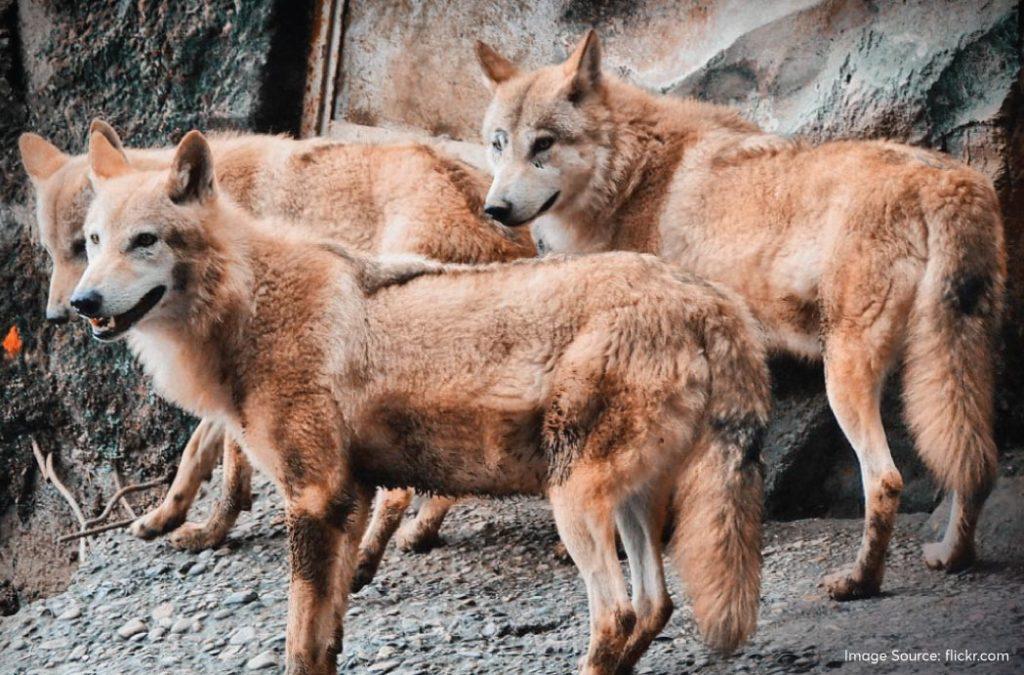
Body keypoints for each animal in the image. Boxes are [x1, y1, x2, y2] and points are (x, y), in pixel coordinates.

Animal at [18, 120, 536, 581]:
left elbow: (226, 470)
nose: (70, 309)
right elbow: (196, 452)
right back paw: (419, 532)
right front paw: (168, 515)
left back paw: (369, 556)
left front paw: (212, 530)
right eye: (84, 244)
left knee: (400, 490)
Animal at [75, 128, 770, 675]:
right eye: (93, 241)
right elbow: (327, 639)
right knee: (655, 608)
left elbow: (299, 645)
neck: (250, 305)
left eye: (144, 240)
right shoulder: (348, 502)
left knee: (618, 617)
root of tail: (708, 299)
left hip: (572, 505)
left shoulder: (314, 500)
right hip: (626, 506)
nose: (82, 303)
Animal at [477, 30, 1007, 602]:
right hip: (953, 361)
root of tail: (944, 181)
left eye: (543, 144)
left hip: (845, 375)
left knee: (887, 480)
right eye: (499, 143)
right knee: (976, 462)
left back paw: (858, 581)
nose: (495, 209)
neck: (632, 176)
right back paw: (953, 555)